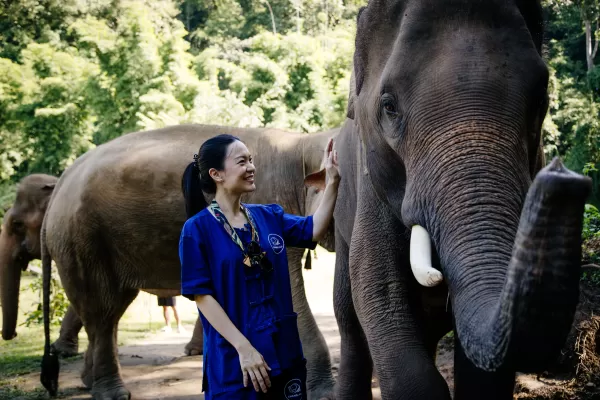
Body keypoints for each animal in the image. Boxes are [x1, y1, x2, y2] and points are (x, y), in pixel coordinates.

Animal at [332, 0, 592, 400]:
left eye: (541, 102)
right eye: (389, 107)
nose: (562, 175)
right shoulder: (369, 185)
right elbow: (377, 288)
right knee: (349, 323)